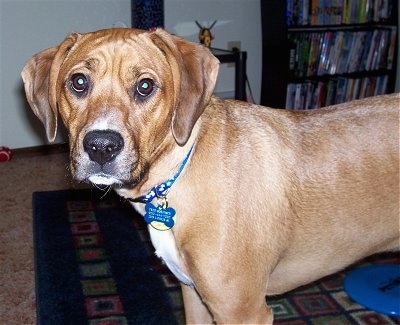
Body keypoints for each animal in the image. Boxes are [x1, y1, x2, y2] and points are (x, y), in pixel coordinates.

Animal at [22, 28, 400, 324]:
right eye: (78, 82)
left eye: (145, 86)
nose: (101, 146)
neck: (179, 172)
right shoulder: (194, 295)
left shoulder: (242, 312)